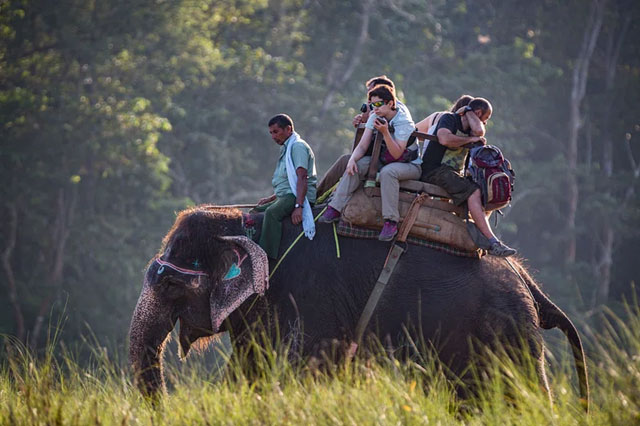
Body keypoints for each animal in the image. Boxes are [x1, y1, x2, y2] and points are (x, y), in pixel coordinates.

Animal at [129, 205, 589, 409]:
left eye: (169, 283)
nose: (164, 408)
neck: (247, 220)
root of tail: (527, 279)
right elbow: (250, 371)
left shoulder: (310, 298)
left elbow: (298, 369)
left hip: (506, 332)